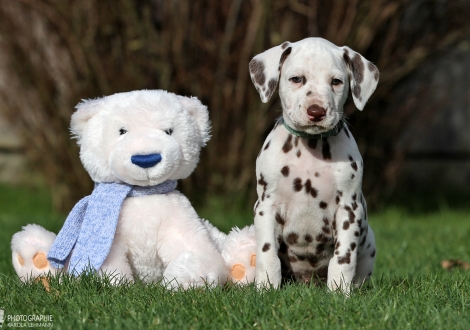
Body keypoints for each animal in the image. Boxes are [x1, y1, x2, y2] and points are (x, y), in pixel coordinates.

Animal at [250, 37, 378, 292]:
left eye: (336, 81)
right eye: (296, 79)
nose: (316, 111)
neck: (310, 149)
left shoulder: (349, 209)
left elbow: (343, 257)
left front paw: (339, 291)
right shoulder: (266, 206)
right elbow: (267, 252)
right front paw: (266, 287)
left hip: (370, 242)